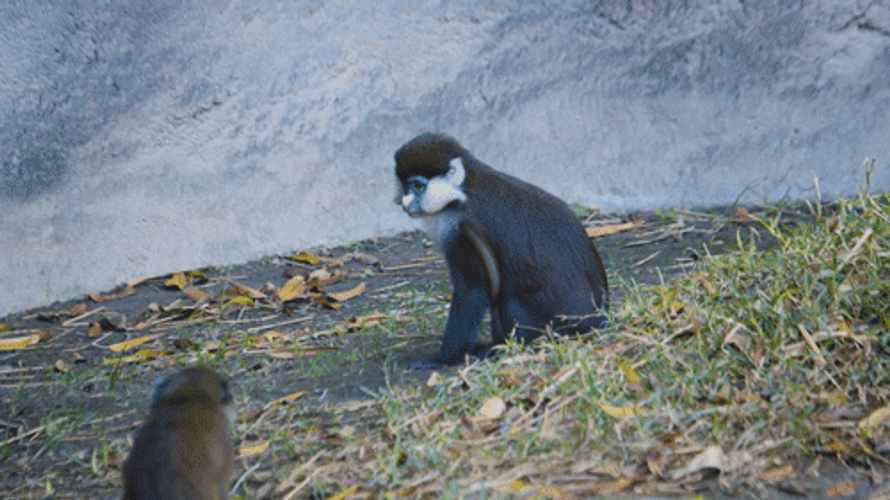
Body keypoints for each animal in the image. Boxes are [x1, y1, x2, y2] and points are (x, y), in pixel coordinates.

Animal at [394, 133, 609, 369]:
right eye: (405, 185)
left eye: (417, 185)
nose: (404, 202)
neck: (463, 189)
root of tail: (598, 319)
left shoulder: (461, 229)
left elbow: (472, 291)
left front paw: (443, 359)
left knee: (507, 300)